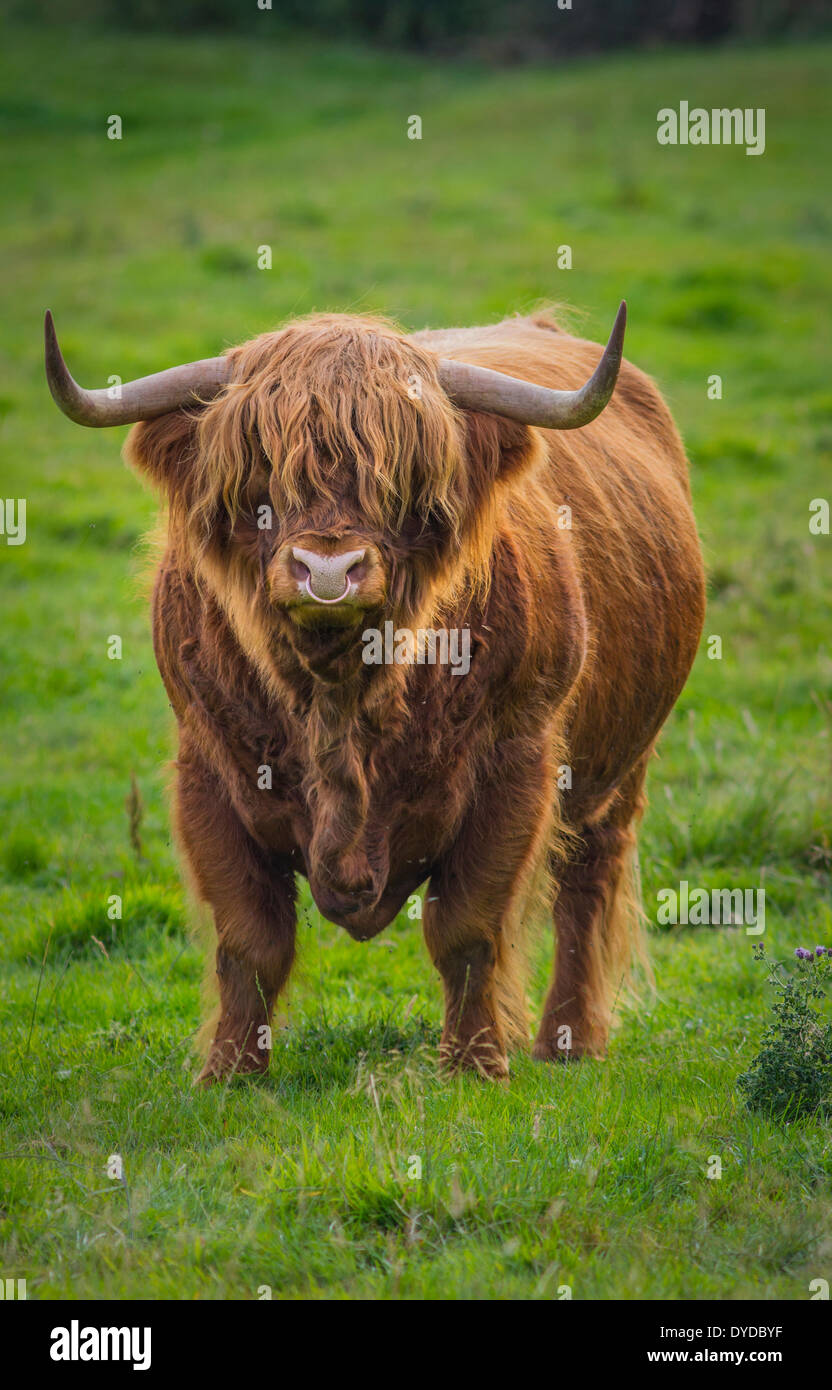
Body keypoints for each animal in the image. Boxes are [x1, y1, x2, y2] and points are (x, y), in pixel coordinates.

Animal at [45, 301, 705, 1084]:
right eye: (260, 475)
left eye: (402, 481)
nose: (328, 571)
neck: (340, 697)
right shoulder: (207, 773)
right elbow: (250, 940)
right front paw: (230, 1072)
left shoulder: (516, 765)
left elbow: (467, 929)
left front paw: (474, 1066)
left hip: (621, 763)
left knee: (587, 878)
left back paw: (568, 1043)